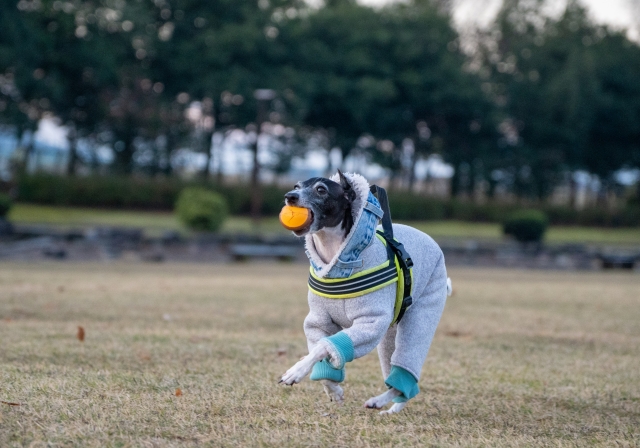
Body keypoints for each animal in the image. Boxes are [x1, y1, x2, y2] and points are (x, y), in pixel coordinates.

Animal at [280, 170, 450, 414]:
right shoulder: (320, 321)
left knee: (408, 358)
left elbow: (323, 347)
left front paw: (295, 371)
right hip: (390, 333)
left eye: (321, 189)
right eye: (296, 186)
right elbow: (321, 348)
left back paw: (380, 402)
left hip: (422, 314)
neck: (336, 258)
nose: (289, 197)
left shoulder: (370, 323)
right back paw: (391, 407)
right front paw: (333, 390)